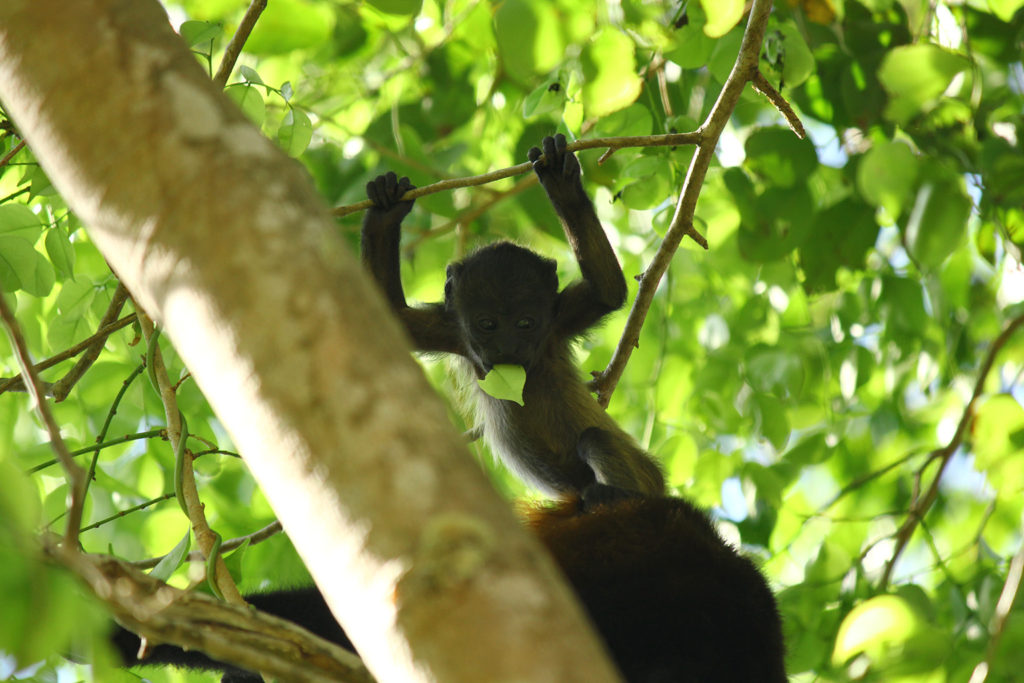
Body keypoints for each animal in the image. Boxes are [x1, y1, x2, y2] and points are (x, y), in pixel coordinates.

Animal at [360, 133, 663, 497]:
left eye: (525, 324)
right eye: (487, 324)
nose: (507, 348)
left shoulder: (557, 323)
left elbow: (607, 289)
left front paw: (562, 185)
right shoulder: (451, 332)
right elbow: (389, 317)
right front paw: (385, 211)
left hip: (648, 475)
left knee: (596, 439)